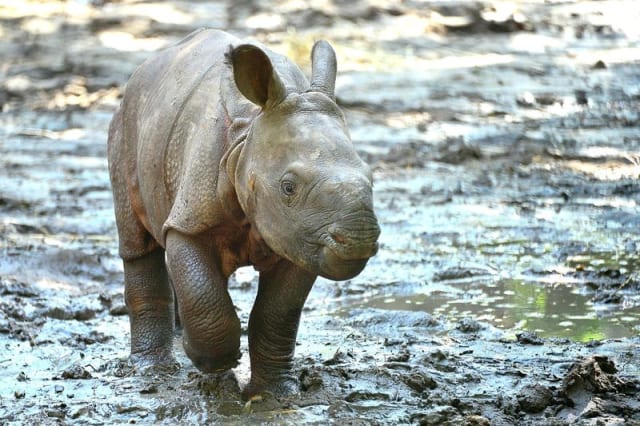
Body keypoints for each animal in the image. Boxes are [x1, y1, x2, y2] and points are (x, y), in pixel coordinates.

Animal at [107, 29, 380, 398]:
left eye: (371, 176)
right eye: (289, 187)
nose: (358, 239)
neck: (249, 134)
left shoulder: (302, 237)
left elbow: (278, 313)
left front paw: (277, 392)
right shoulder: (190, 220)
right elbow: (200, 286)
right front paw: (212, 361)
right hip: (125, 124)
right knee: (138, 242)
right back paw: (150, 369)